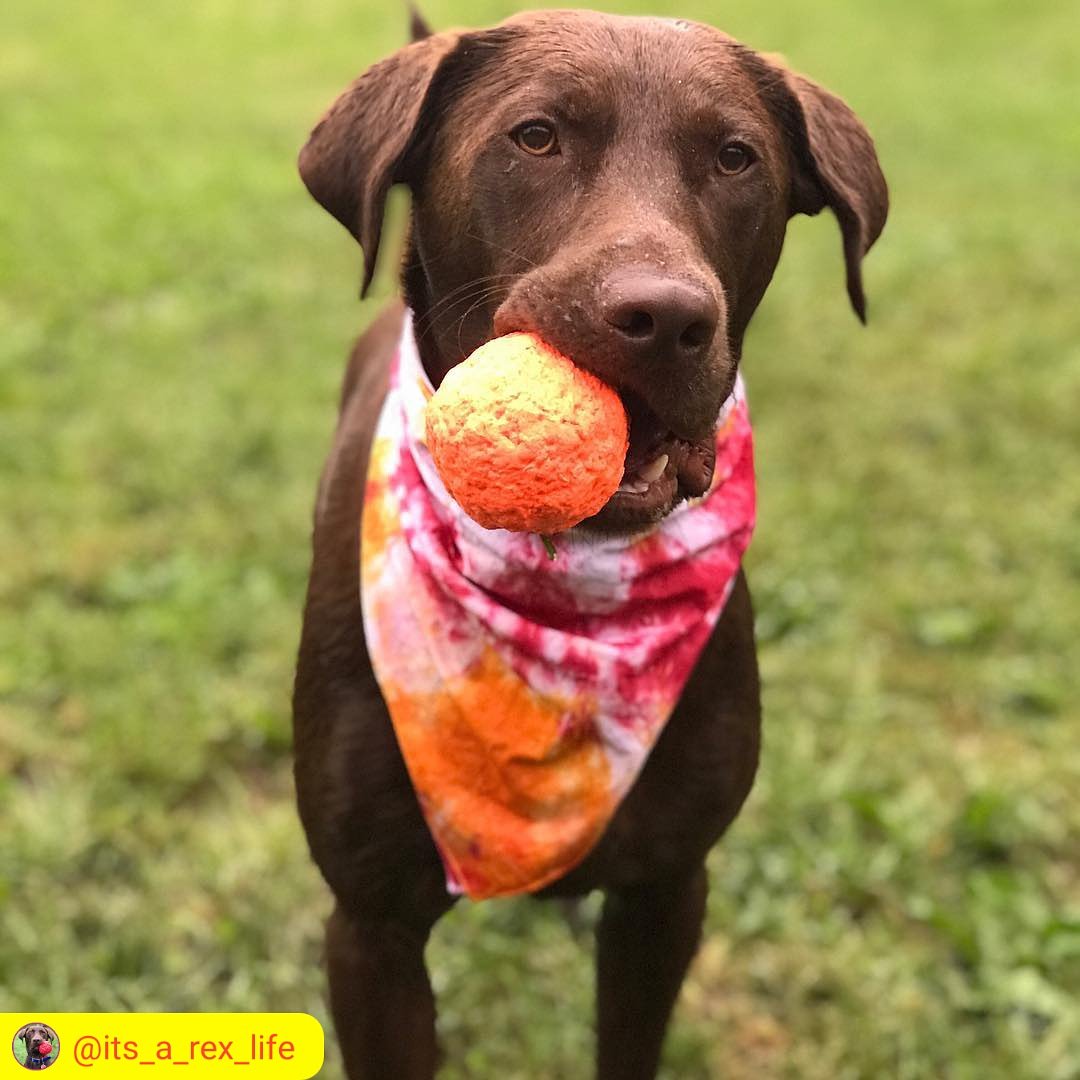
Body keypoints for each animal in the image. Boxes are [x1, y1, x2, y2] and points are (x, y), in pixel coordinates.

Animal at [293, 10, 885, 1080]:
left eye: (735, 157)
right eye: (535, 137)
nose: (665, 317)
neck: (562, 589)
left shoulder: (666, 889)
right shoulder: (369, 924)